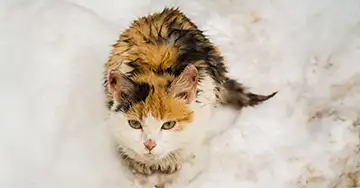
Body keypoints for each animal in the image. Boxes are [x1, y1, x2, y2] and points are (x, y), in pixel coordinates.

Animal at [102, 6, 278, 187]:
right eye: (135, 124)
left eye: (169, 124)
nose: (149, 144)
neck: (156, 70)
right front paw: (138, 162)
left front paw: (172, 161)